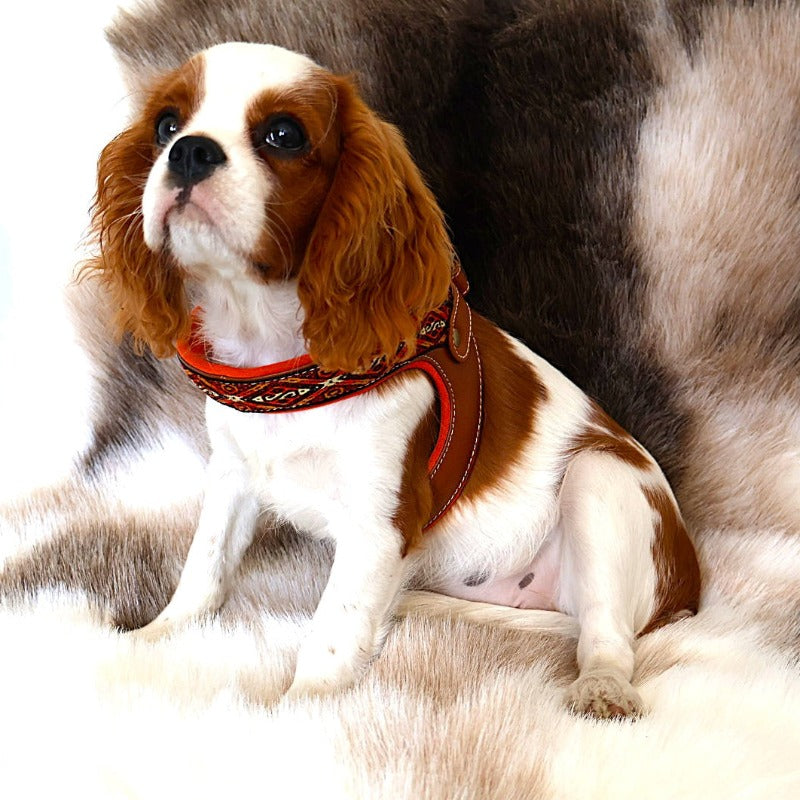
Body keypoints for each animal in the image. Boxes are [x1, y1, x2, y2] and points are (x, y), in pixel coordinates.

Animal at [87, 42, 696, 720]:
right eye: (166, 125)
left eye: (283, 135)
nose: (190, 150)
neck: (274, 350)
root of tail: (688, 589)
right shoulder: (232, 475)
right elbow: (205, 564)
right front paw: (157, 635)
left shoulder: (380, 524)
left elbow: (332, 627)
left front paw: (303, 708)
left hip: (601, 479)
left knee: (607, 634)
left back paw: (603, 685)